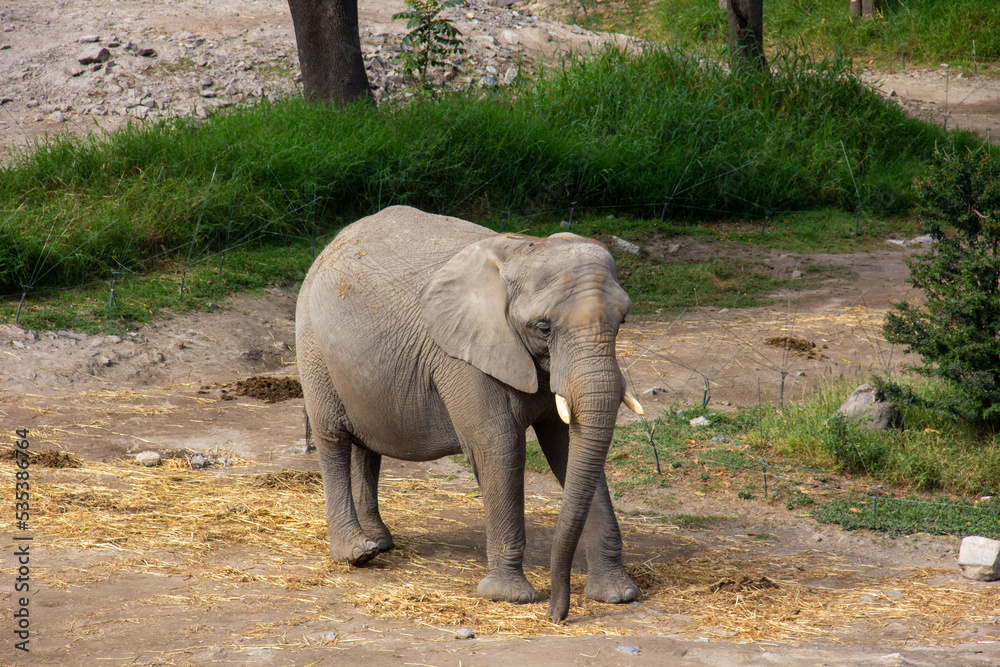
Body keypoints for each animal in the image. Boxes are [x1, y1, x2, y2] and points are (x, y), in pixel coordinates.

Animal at [295, 205, 644, 622]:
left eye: (622, 321)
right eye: (543, 327)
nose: (557, 614)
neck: (525, 250)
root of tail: (331, 243)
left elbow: (568, 450)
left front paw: (618, 595)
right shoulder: (464, 357)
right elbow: (499, 449)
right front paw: (510, 597)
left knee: (368, 445)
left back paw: (380, 542)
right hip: (312, 344)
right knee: (332, 438)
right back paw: (356, 554)